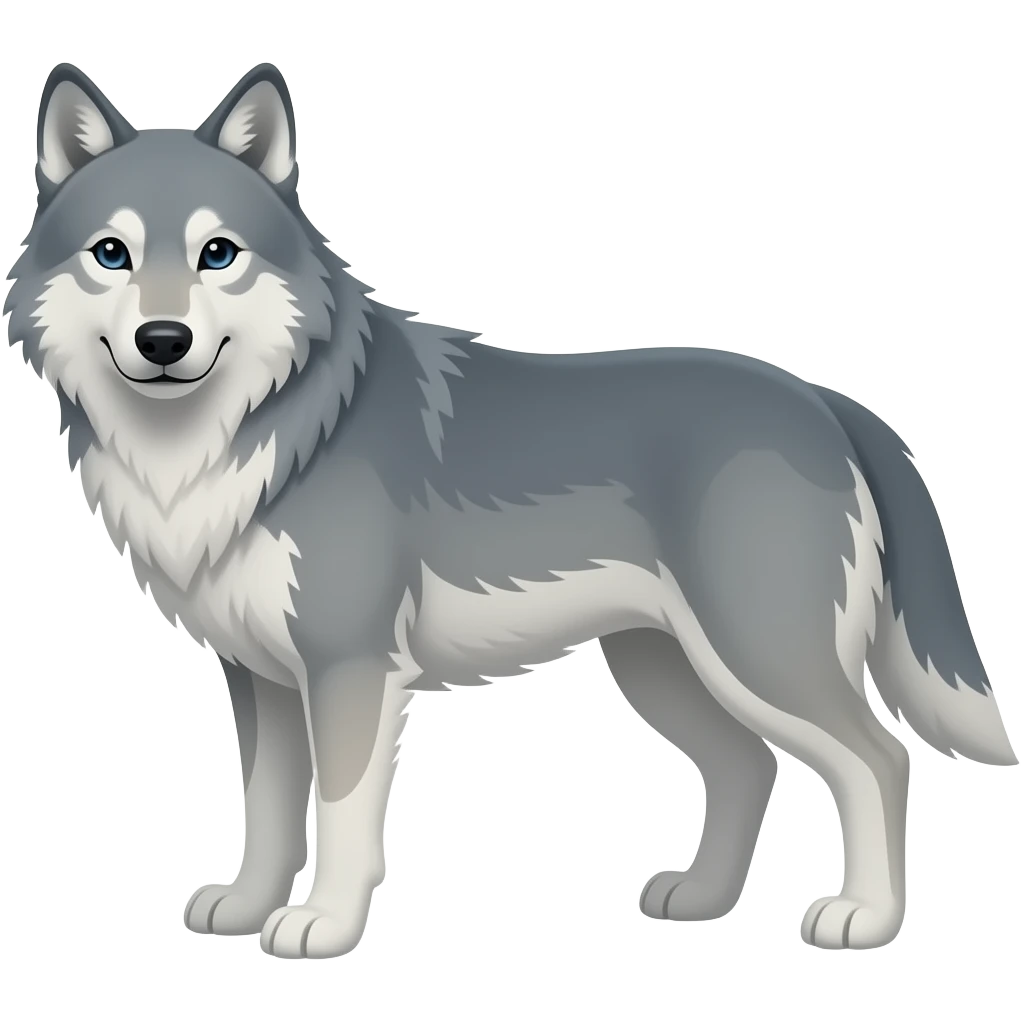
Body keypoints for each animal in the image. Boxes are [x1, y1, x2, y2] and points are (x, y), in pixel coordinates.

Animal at [3, 59, 1016, 958]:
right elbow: (267, 809)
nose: (162, 339)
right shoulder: (259, 678)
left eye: (218, 254)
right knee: (748, 765)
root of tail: (827, 402)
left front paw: (321, 925)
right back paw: (700, 899)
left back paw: (864, 919)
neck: (247, 435)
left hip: (758, 656)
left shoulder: (348, 669)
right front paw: (249, 906)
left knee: (878, 761)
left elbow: (339, 810)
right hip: (662, 666)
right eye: (111, 255)